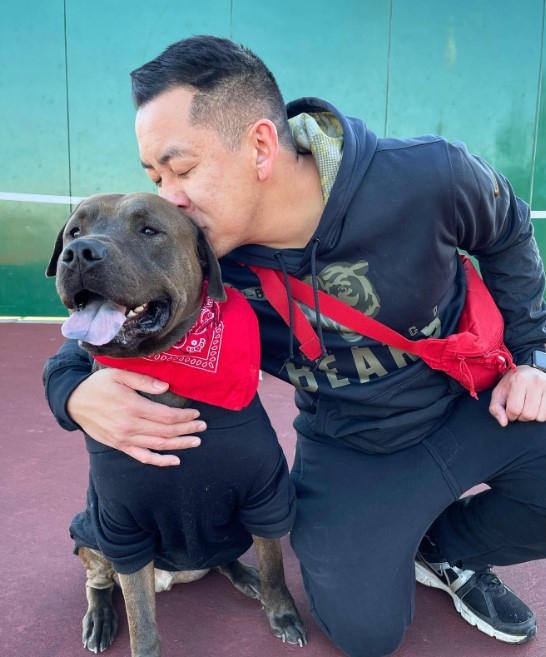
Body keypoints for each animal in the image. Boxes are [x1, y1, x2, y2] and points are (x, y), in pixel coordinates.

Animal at [46, 192, 306, 656]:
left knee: (223, 560)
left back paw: (246, 577)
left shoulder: (265, 493)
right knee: (98, 582)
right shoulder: (121, 528)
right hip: (90, 532)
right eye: (75, 230)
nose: (79, 252)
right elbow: (142, 623)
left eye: (149, 230)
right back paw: (99, 618)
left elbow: (275, 564)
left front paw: (282, 613)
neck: (169, 369)